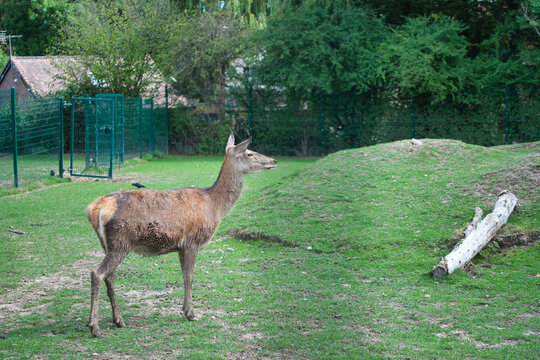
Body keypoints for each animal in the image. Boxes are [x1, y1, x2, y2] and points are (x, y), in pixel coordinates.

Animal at [87, 133, 278, 338]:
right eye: (249, 153)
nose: (274, 160)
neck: (215, 205)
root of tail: (94, 209)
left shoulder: (180, 247)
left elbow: (183, 275)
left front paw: (185, 310)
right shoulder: (194, 241)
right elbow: (190, 276)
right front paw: (192, 314)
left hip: (108, 245)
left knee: (110, 276)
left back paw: (118, 320)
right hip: (121, 242)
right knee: (97, 273)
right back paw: (95, 327)